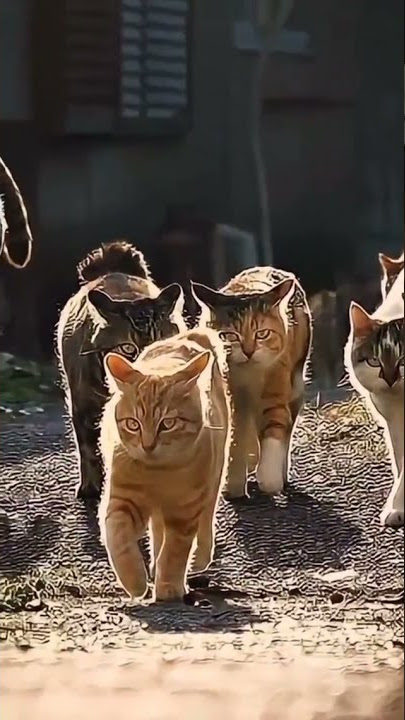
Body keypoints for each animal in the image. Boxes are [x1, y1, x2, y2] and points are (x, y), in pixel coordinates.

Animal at [98, 330, 230, 600]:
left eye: (167, 424)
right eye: (133, 424)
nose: (148, 445)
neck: (158, 475)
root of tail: (189, 336)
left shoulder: (185, 512)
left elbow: (174, 552)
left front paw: (168, 585)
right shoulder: (121, 501)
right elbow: (119, 539)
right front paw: (135, 581)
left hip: (213, 481)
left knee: (205, 522)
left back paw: (198, 560)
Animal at [191, 268, 310, 498]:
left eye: (262, 333)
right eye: (229, 336)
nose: (248, 351)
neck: (250, 374)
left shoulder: (276, 385)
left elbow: (274, 428)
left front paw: (269, 477)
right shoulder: (233, 394)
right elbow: (236, 436)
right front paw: (233, 483)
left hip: (296, 383)